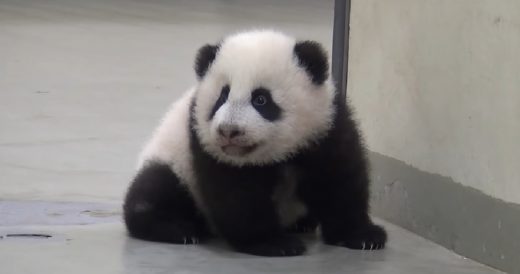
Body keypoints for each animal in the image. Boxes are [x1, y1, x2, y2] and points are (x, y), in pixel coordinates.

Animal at [124, 30, 386, 256]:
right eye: (222, 96)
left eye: (261, 99)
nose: (229, 131)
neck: (275, 154)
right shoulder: (204, 141)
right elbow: (237, 194)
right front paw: (274, 243)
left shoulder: (324, 127)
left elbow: (338, 180)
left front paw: (363, 236)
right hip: (174, 161)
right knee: (156, 188)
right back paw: (178, 228)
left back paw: (302, 223)